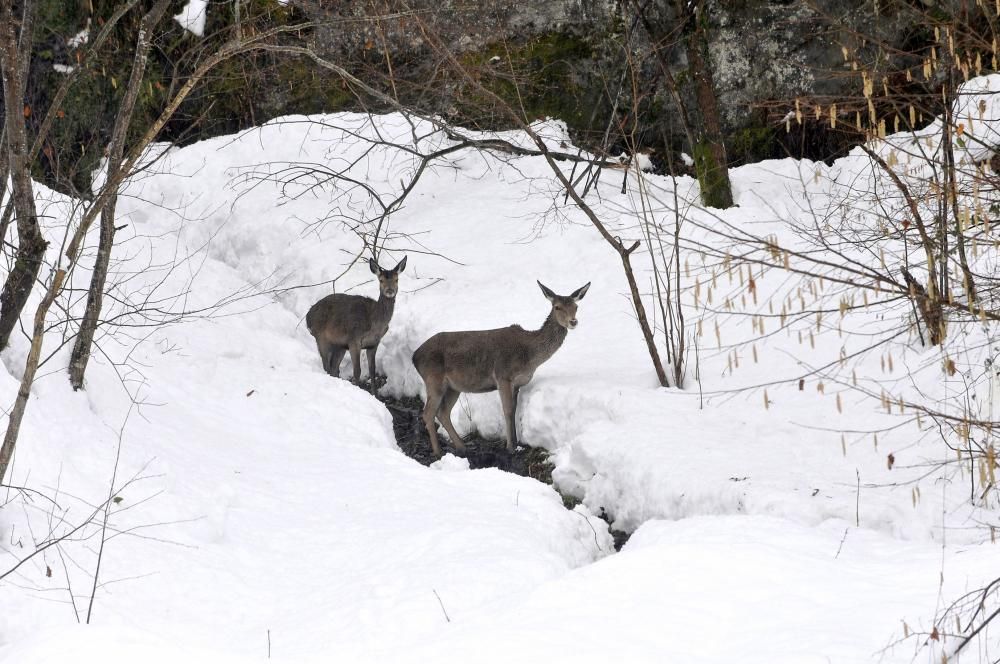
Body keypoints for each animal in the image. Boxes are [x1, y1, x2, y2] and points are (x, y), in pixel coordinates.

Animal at [304, 254, 406, 390]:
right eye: (381, 280)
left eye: (396, 279)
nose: (390, 291)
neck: (375, 323)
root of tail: (307, 316)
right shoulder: (354, 340)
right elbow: (357, 371)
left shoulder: (374, 343)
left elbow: (372, 370)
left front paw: (373, 393)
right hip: (320, 337)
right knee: (326, 366)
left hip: (339, 345)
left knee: (334, 367)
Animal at [412, 280, 588, 456]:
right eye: (557, 307)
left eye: (576, 306)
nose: (573, 322)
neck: (529, 357)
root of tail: (415, 357)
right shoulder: (503, 376)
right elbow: (508, 410)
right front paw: (510, 447)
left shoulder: (517, 383)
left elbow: (514, 409)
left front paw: (516, 443)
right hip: (433, 379)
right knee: (428, 413)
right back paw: (438, 452)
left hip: (453, 387)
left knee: (443, 412)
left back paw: (462, 446)